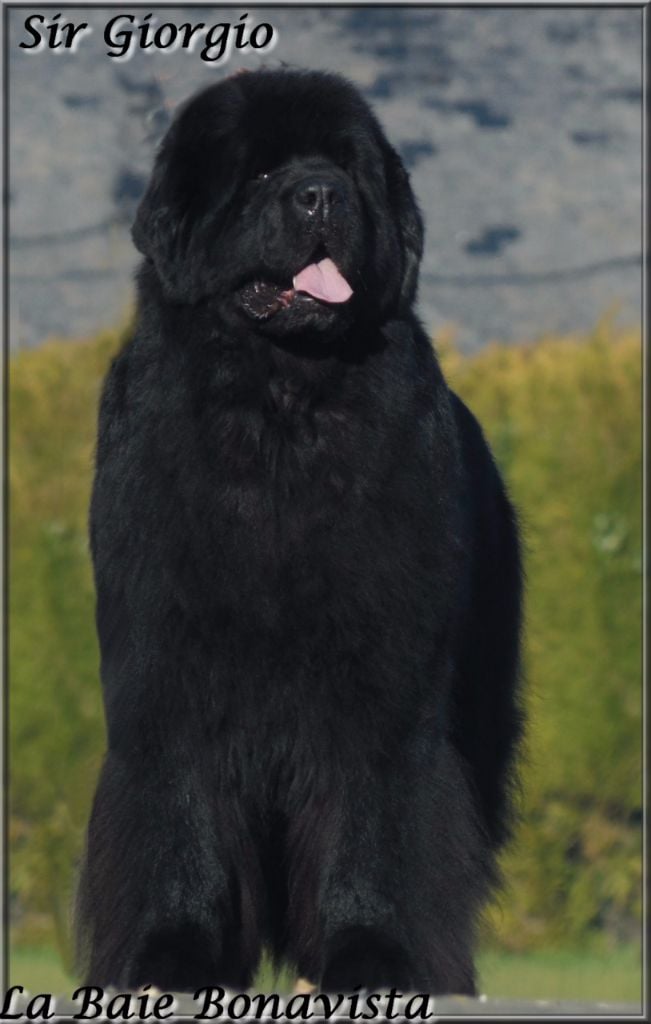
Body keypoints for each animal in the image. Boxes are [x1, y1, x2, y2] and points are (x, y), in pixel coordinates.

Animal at [78, 68, 523, 996]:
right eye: (255, 174)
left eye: (347, 169)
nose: (320, 193)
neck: (282, 404)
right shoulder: (168, 664)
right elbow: (181, 809)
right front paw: (171, 955)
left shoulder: (383, 676)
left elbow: (374, 816)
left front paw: (374, 956)